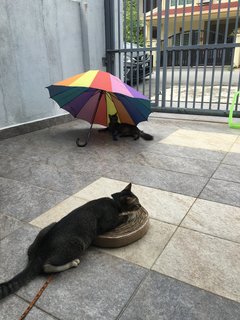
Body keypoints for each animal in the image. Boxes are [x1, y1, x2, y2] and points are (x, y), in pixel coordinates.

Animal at [0, 182, 141, 300]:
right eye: (137, 204)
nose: (141, 207)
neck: (113, 202)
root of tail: (38, 254)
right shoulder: (107, 224)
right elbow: (122, 217)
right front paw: (130, 215)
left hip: (49, 226)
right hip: (78, 244)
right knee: (47, 267)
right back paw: (73, 262)